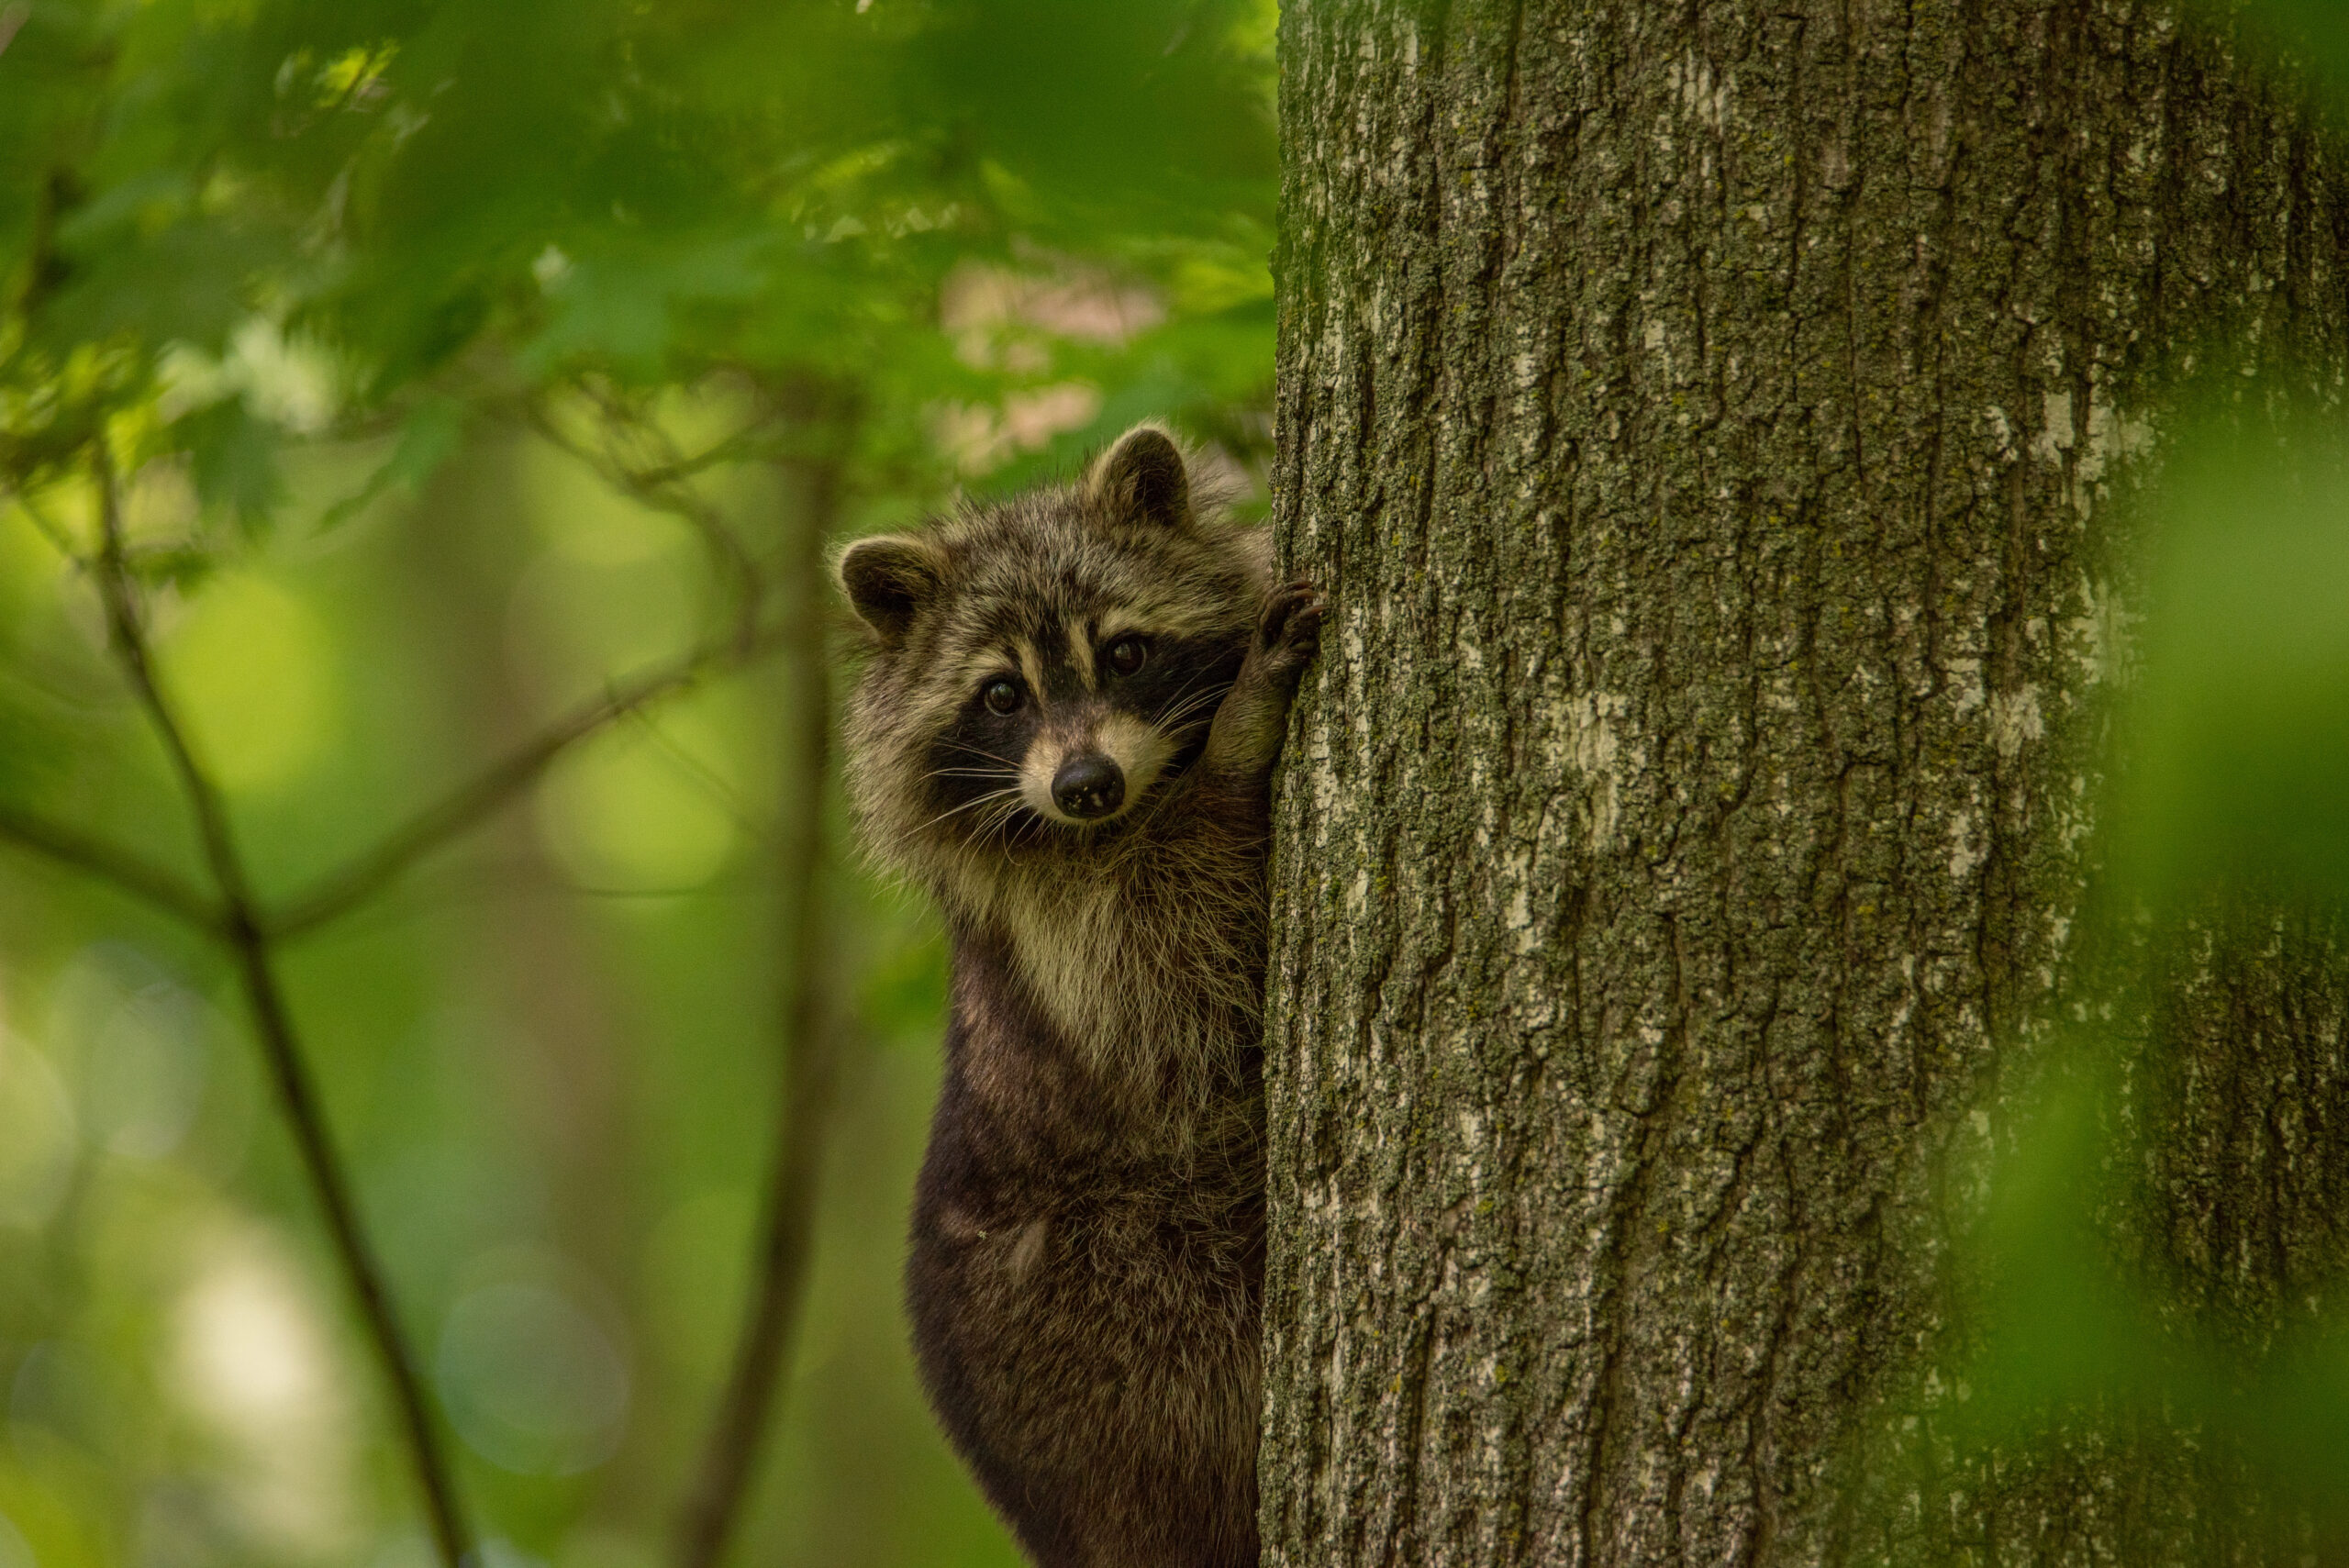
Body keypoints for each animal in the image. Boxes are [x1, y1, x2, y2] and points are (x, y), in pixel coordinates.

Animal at [836, 422, 1324, 1558]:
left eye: (1125, 652)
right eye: (1000, 695)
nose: (1085, 784)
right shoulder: (1060, 929)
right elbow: (1184, 984)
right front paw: (1236, 743)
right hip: (1129, 1318)